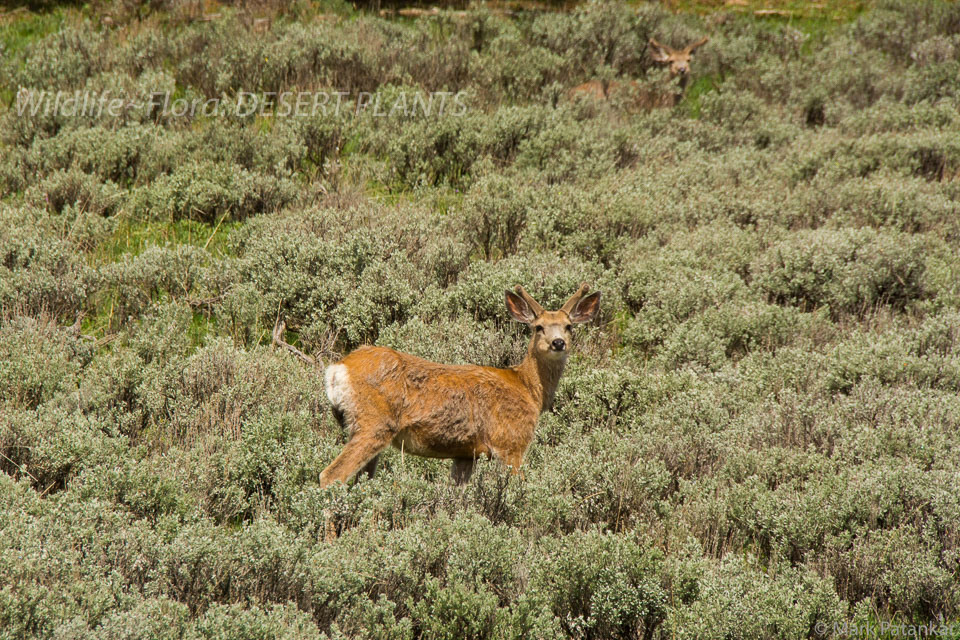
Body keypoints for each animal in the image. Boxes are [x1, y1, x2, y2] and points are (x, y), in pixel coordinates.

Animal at [314, 282, 600, 488]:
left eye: (569, 326)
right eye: (538, 327)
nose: (558, 343)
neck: (528, 389)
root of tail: (337, 369)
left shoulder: (465, 454)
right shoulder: (511, 442)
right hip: (373, 423)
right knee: (331, 476)